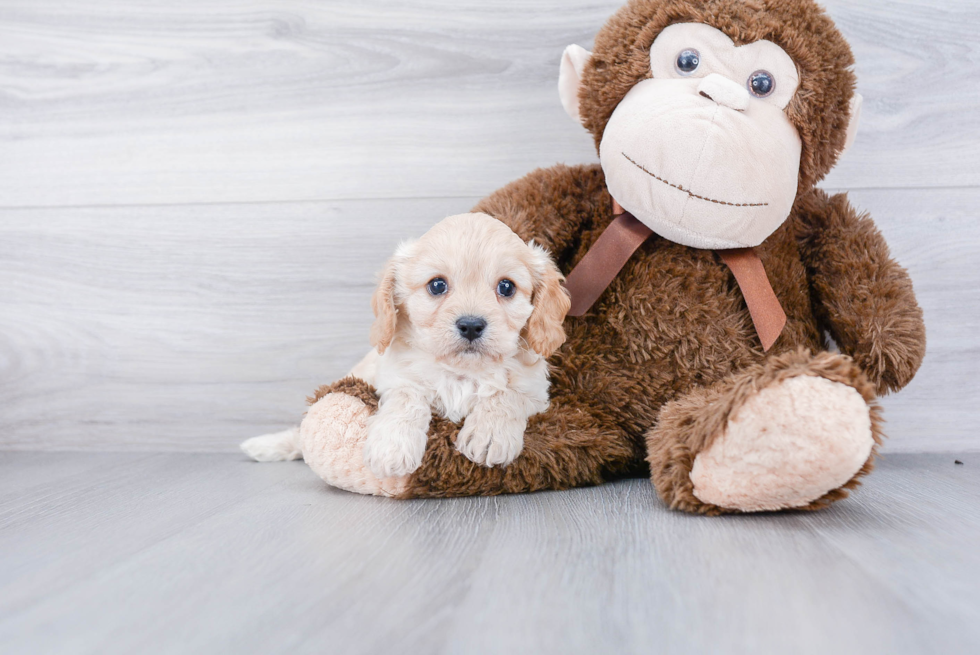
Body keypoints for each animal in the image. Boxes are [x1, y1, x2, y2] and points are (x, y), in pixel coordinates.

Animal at [360, 213, 572, 480]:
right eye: (437, 285)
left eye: (506, 287)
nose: (471, 326)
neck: (463, 372)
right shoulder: (395, 377)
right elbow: (405, 396)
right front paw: (392, 445)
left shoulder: (535, 391)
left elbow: (506, 393)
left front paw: (490, 434)